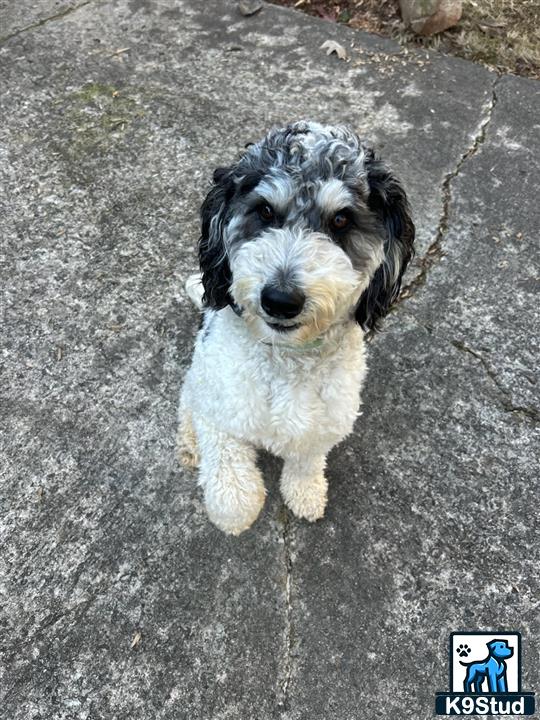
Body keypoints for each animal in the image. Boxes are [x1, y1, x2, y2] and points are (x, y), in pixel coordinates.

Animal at [177, 119, 414, 536]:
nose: (280, 299)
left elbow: (306, 461)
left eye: (341, 220)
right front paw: (235, 513)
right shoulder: (220, 412)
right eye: (264, 211)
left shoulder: (321, 426)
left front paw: (305, 493)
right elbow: (230, 476)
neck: (286, 358)